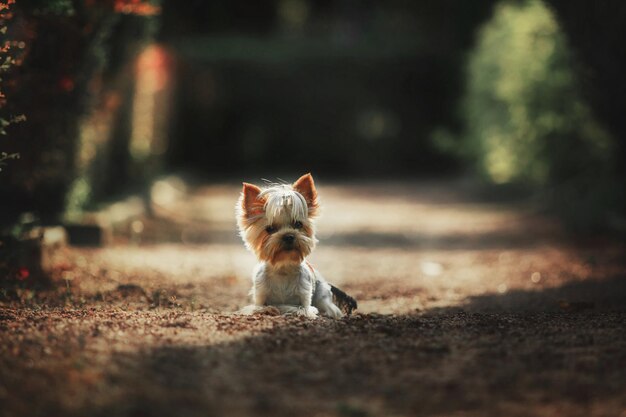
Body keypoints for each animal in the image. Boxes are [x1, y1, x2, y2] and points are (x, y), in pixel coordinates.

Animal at [236, 172, 356, 318]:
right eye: (270, 229)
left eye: (298, 224)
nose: (288, 236)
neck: (283, 269)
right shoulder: (260, 295)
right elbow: (260, 307)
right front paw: (271, 309)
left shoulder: (305, 299)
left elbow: (300, 308)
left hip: (321, 294)